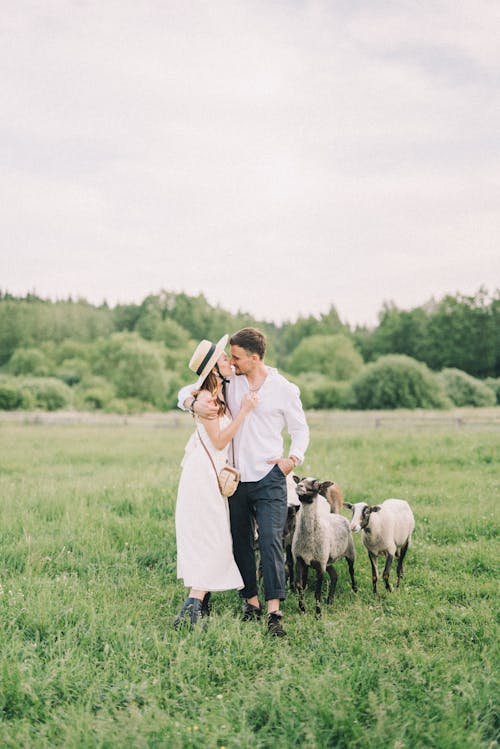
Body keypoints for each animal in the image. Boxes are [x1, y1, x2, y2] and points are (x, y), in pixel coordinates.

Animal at [292, 480, 358, 612]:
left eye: (316, 484)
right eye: (301, 480)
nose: (299, 486)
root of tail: (338, 515)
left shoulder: (320, 566)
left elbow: (317, 592)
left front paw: (318, 613)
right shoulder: (300, 560)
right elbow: (299, 585)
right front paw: (303, 608)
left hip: (350, 552)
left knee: (351, 570)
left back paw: (354, 589)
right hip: (328, 560)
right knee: (335, 576)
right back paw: (330, 600)